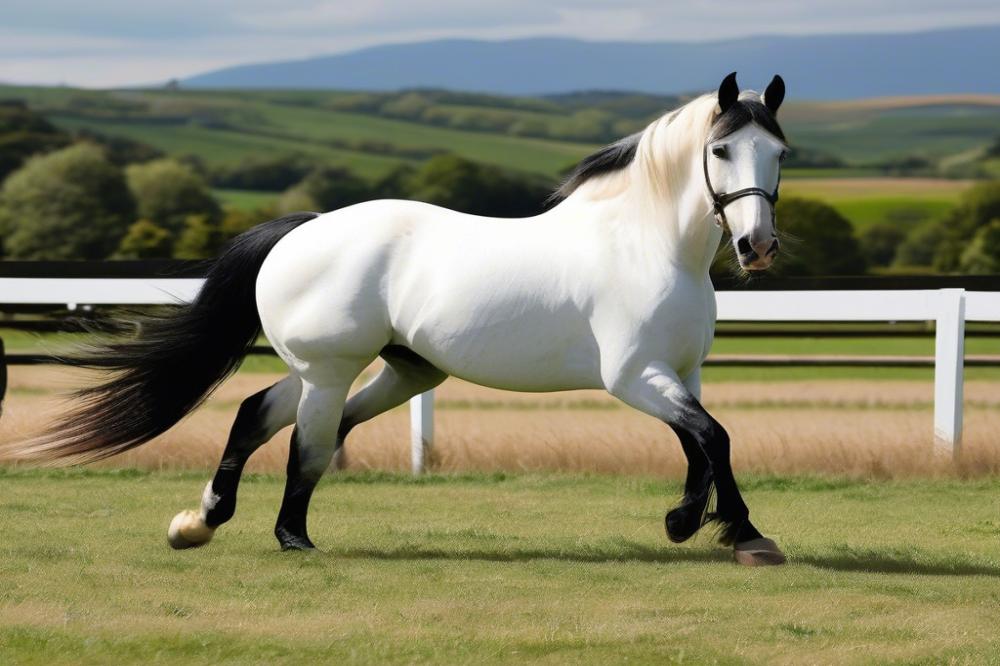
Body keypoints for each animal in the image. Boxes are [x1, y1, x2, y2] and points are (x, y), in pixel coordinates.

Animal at [9, 71, 788, 560]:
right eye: (721, 148)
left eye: (780, 151)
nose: (757, 247)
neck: (646, 246)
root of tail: (301, 230)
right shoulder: (632, 375)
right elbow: (712, 438)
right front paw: (737, 532)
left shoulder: (680, 372)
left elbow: (700, 442)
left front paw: (694, 522)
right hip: (331, 368)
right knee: (306, 442)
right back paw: (291, 538)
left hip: (393, 370)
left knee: (263, 415)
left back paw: (199, 522)